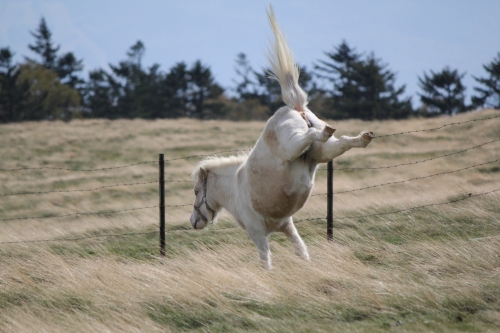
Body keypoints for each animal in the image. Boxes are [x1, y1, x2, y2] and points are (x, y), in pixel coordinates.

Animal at [189, 6, 374, 268]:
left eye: (196, 191)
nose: (194, 221)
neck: (235, 188)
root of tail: (294, 107)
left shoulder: (258, 234)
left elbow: (266, 261)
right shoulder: (287, 226)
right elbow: (301, 250)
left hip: (293, 145)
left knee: (314, 134)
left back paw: (328, 131)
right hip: (324, 153)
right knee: (344, 142)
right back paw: (364, 137)